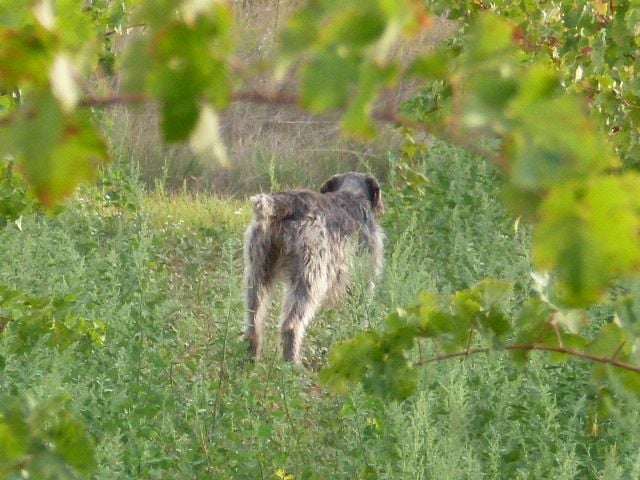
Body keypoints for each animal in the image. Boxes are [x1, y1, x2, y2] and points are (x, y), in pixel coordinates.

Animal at [244, 172, 384, 364]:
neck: (353, 194)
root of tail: (283, 202)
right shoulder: (362, 280)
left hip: (258, 271)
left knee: (253, 321)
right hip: (311, 278)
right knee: (291, 325)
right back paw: (293, 364)